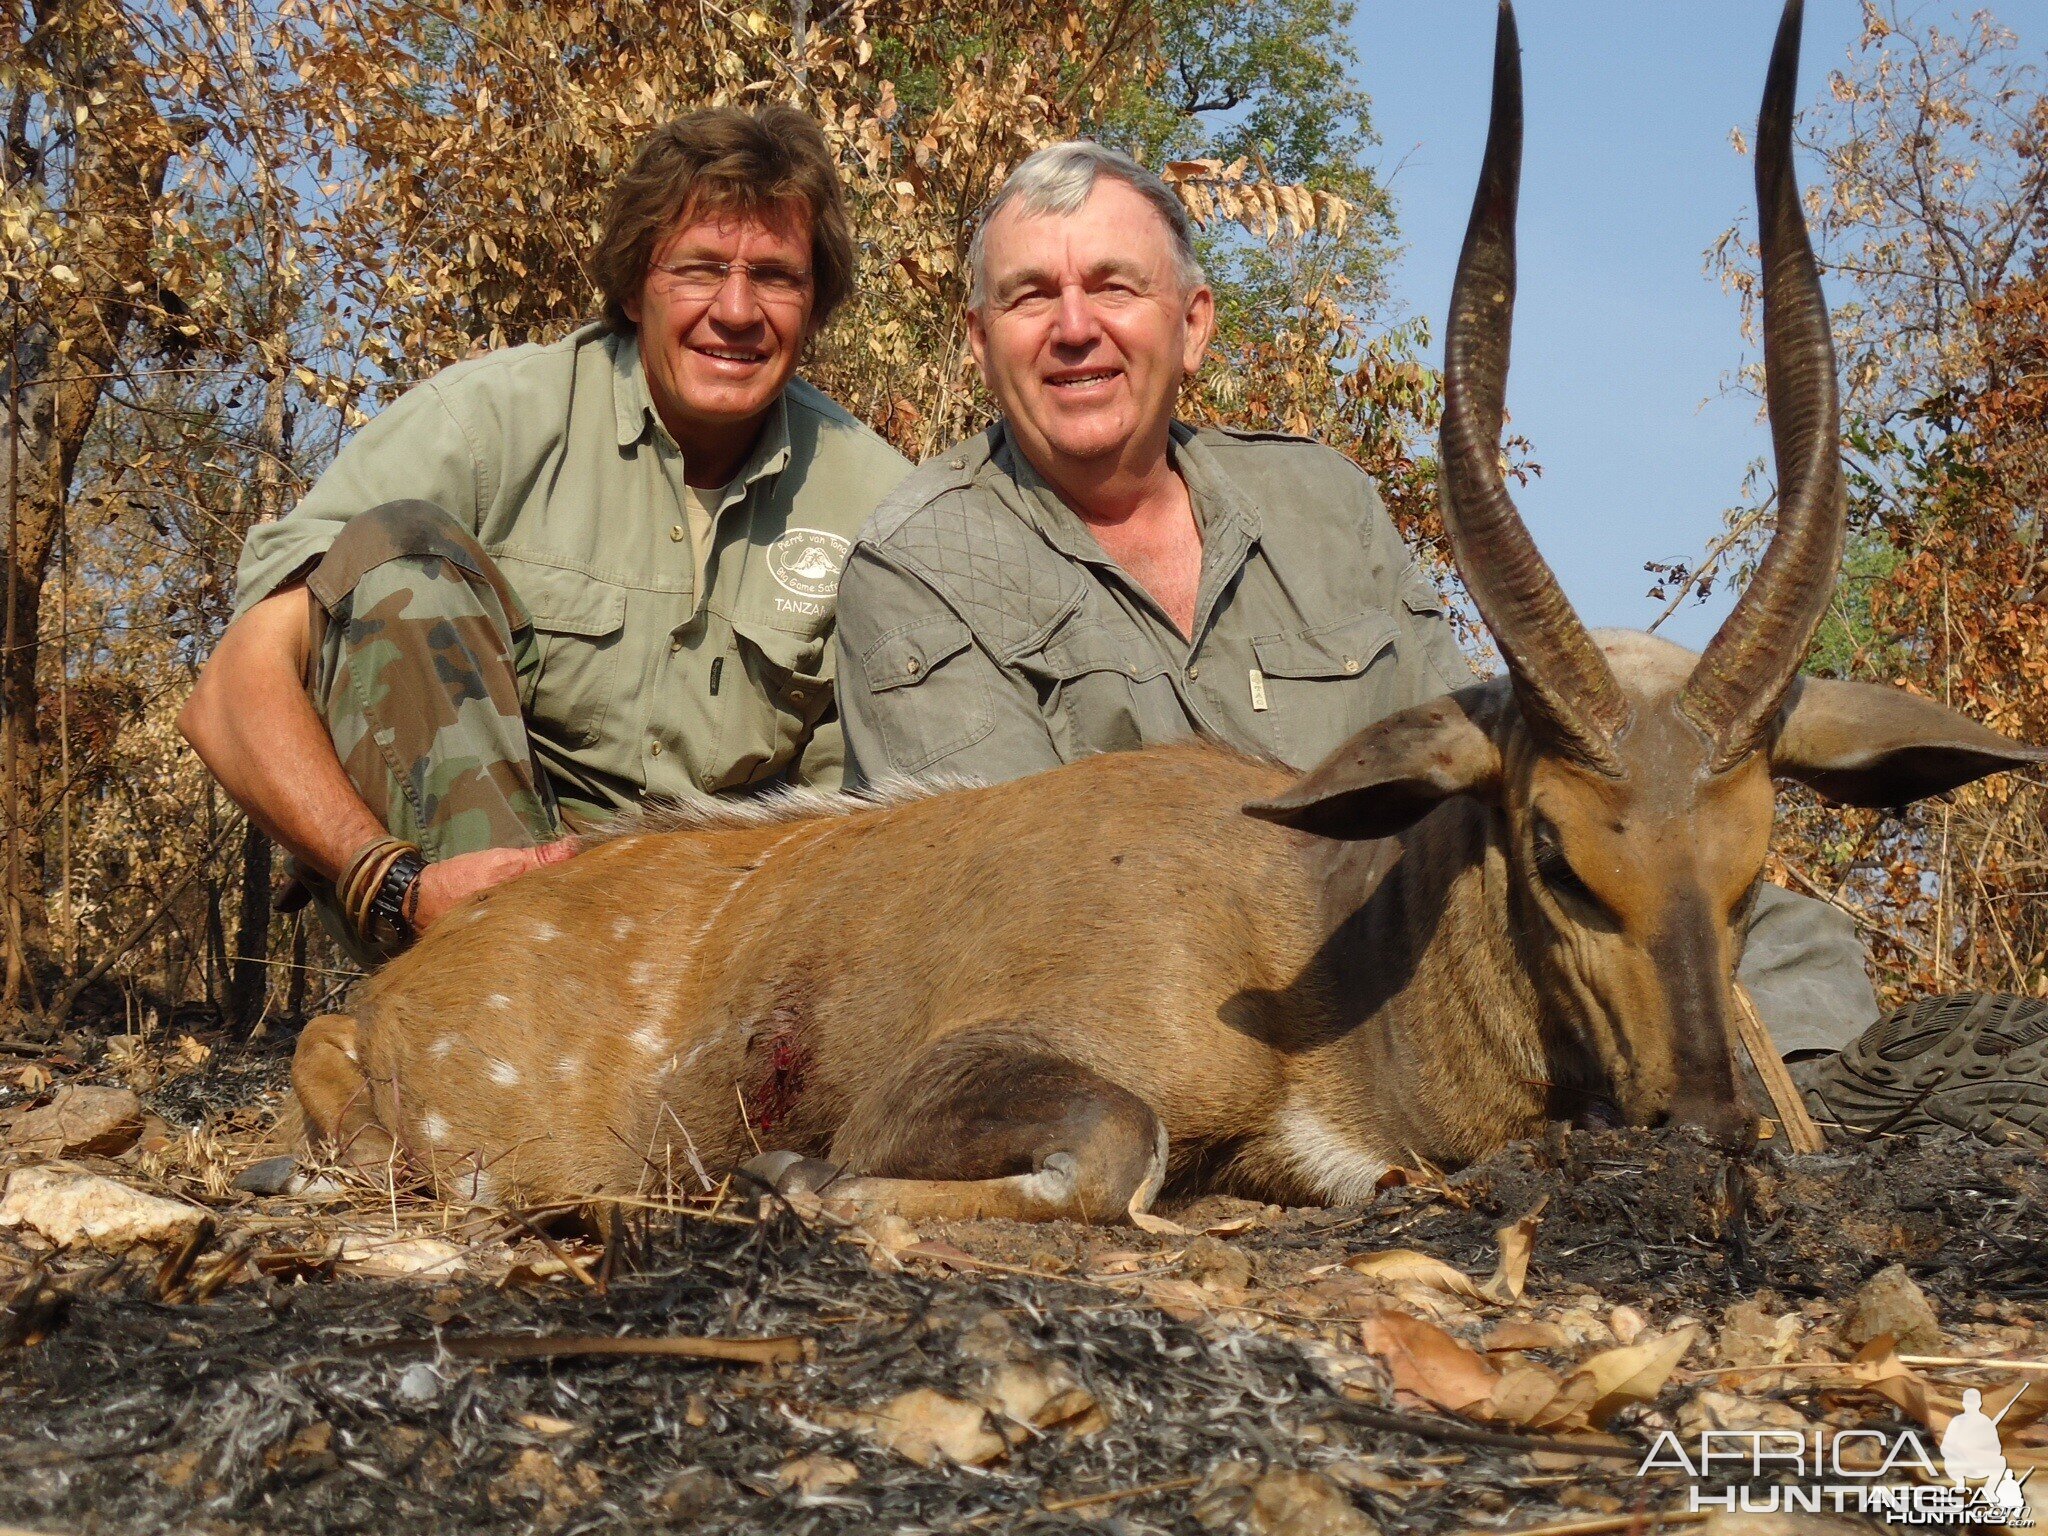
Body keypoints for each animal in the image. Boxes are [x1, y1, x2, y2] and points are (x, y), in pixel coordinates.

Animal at [288, 0, 2048, 1228]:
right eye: (1556, 850)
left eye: (1754, 865)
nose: (1712, 1134)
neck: (1308, 937)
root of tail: (376, 1007)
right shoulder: (987, 1073)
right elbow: (1101, 1150)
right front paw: (796, 1184)